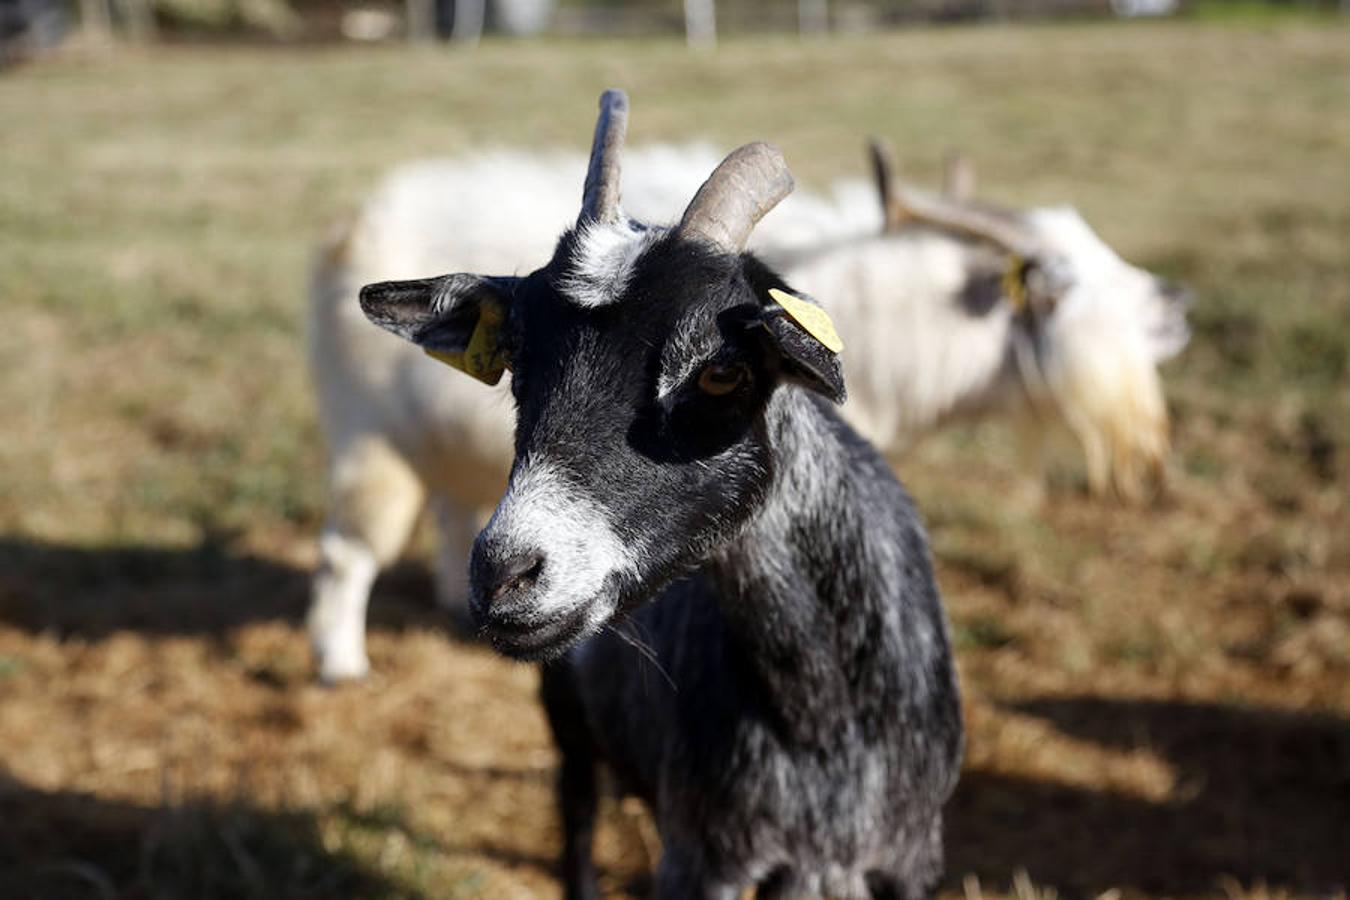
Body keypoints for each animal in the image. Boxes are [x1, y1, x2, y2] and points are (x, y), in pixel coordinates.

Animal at [308, 138, 1188, 682]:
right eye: (1055, 281)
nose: (1177, 303)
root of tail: (349, 225)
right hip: (367, 440)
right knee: (346, 554)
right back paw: (341, 665)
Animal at [354, 89, 964, 900]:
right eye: (516, 359)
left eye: (723, 370)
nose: (505, 576)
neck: (824, 715)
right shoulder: (702, 855)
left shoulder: (912, 858)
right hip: (566, 717)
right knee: (577, 809)